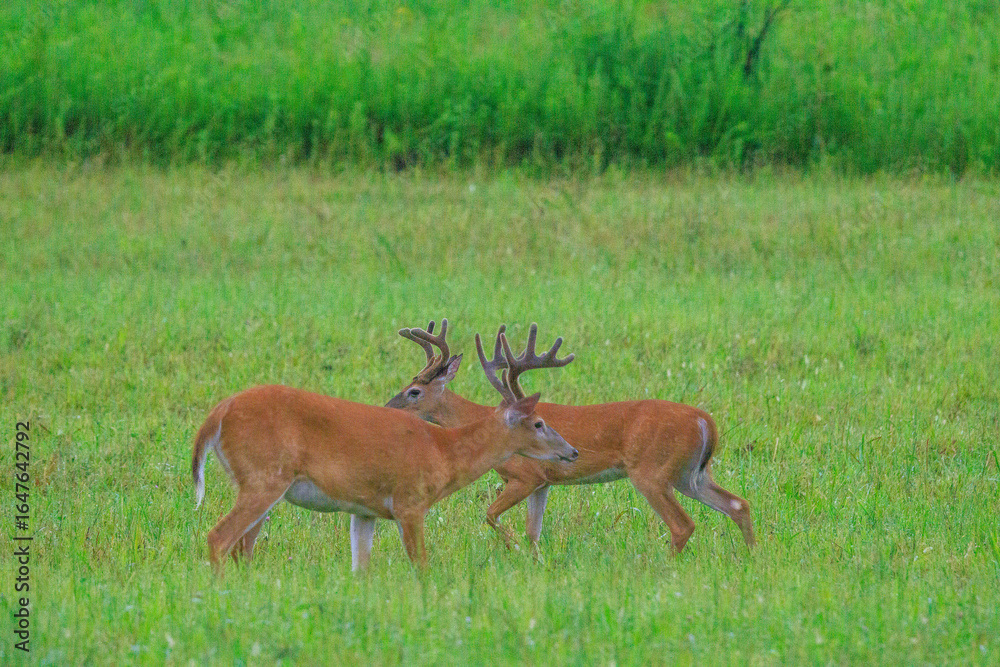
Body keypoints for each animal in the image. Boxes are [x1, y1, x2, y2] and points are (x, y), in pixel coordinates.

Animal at [190, 326, 579, 574]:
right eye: (539, 422)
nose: (572, 451)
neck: (444, 451)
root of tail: (217, 414)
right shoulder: (410, 502)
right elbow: (422, 565)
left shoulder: (364, 510)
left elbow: (360, 569)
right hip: (264, 478)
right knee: (219, 538)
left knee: (241, 549)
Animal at [385, 320, 756, 554]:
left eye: (414, 391)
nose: (386, 407)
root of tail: (706, 420)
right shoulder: (544, 482)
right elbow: (533, 532)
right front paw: (531, 559)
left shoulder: (525, 475)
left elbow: (491, 515)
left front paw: (513, 547)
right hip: (690, 474)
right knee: (738, 504)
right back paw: (751, 558)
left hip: (652, 471)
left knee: (683, 525)